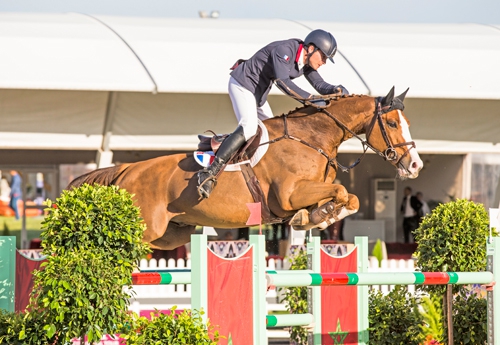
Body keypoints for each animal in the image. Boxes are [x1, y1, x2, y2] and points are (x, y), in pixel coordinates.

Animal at [69, 85, 422, 247]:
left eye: (405, 122)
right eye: (392, 123)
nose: (415, 165)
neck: (312, 138)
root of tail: (126, 170)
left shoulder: (310, 192)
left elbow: (350, 198)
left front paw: (316, 218)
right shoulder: (289, 195)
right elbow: (340, 191)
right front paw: (315, 216)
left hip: (170, 235)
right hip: (144, 231)